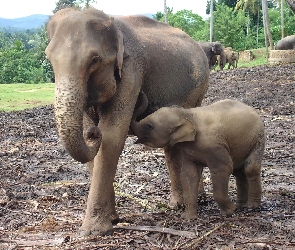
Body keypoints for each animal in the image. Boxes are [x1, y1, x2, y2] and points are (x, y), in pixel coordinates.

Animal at [45, 7, 210, 236]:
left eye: (94, 60)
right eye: (49, 59)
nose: (93, 133)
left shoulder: (132, 70)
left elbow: (112, 136)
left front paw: (92, 232)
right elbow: (92, 145)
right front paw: (113, 219)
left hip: (200, 89)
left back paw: (198, 200)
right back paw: (178, 204)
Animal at [132, 98, 266, 220]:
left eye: (150, 126)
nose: (141, 95)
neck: (187, 114)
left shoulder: (214, 145)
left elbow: (223, 168)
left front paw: (229, 211)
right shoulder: (188, 151)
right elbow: (188, 174)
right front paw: (188, 218)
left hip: (258, 138)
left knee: (250, 168)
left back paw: (251, 207)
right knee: (239, 172)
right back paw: (241, 206)